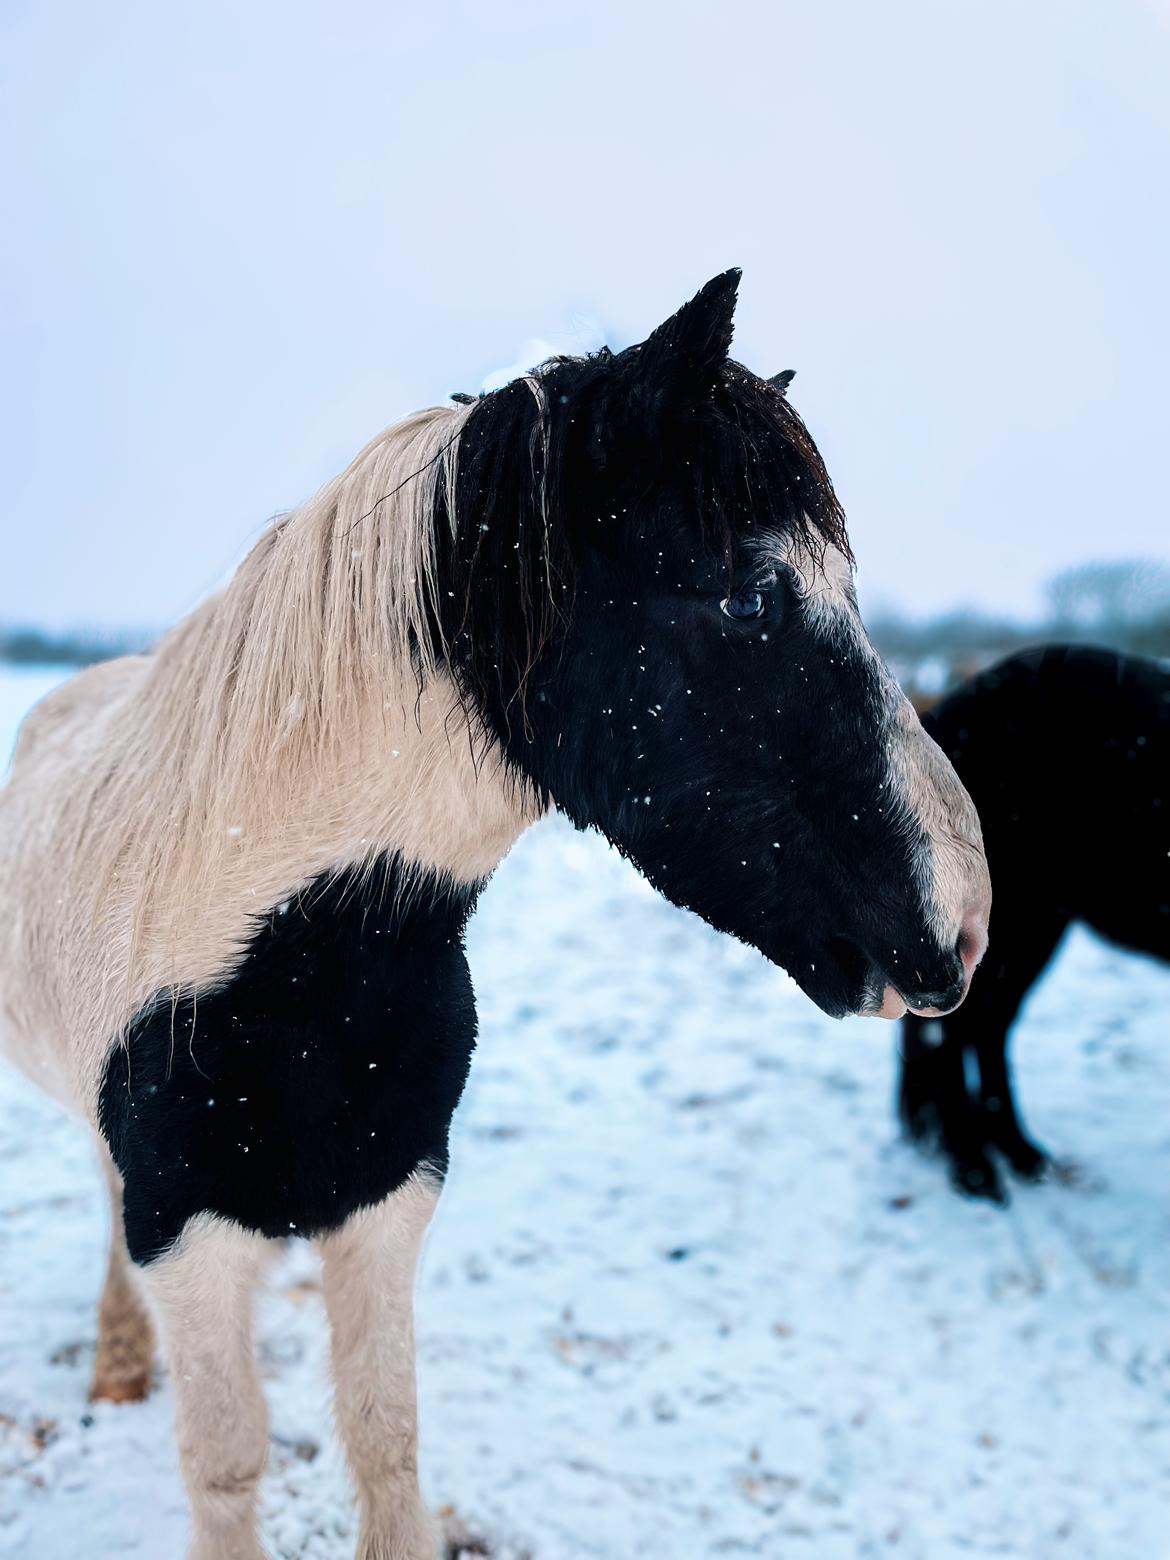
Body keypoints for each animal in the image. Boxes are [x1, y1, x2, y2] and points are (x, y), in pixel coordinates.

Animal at [0, 277, 992, 1560]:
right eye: (750, 592)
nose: (965, 921)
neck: (290, 960)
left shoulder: (389, 1198)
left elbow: (384, 1441)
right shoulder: (185, 1234)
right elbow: (226, 1465)